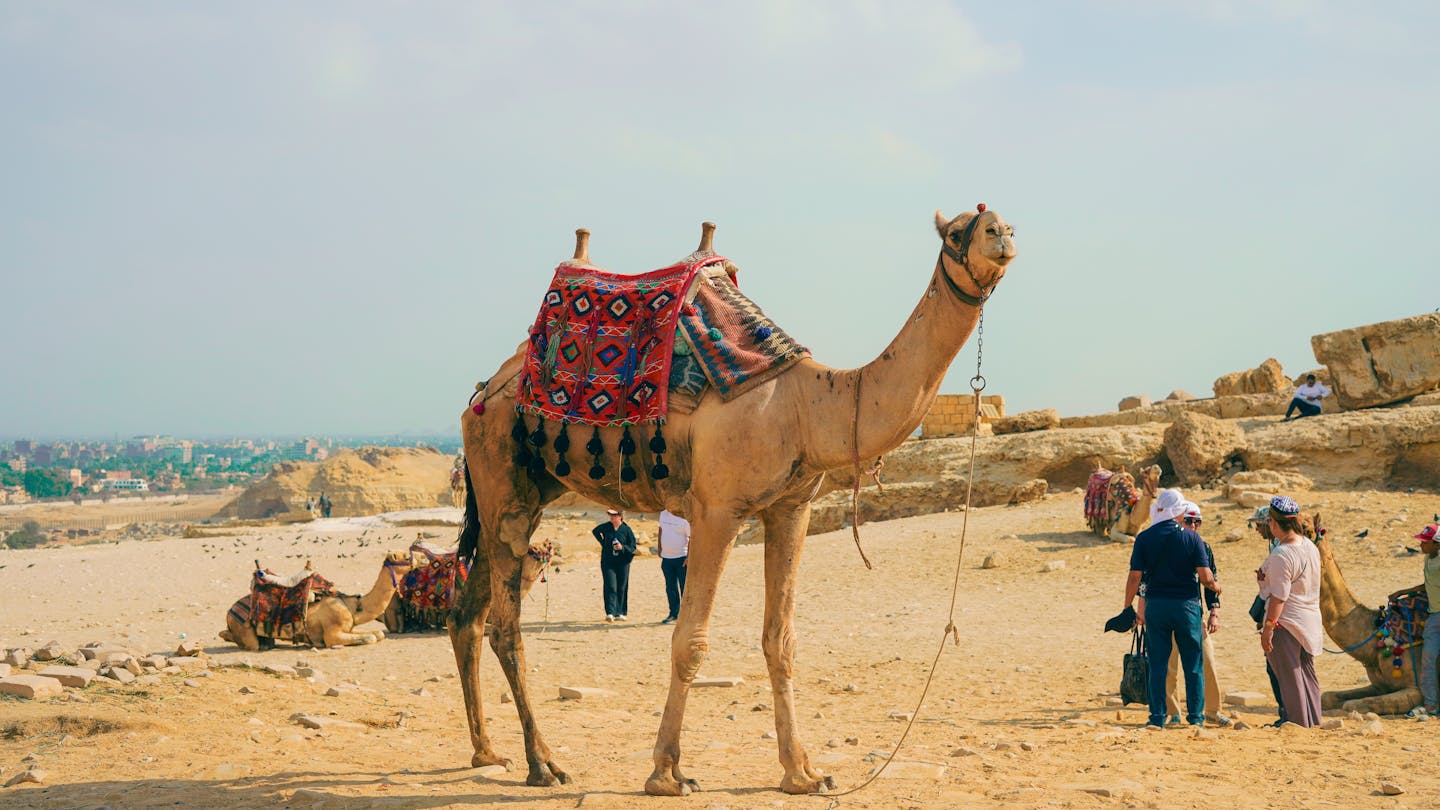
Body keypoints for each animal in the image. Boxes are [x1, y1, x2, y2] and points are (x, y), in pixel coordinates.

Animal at [220, 552, 414, 650]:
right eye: (406, 556)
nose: (420, 560)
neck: (352, 606)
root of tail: (229, 613)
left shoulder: (349, 628)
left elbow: (378, 634)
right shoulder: (333, 634)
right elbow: (370, 638)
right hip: (244, 630)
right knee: (249, 644)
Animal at [450, 204, 1015, 794]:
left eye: (1005, 224)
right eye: (958, 231)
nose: (1000, 234)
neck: (808, 405)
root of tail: (485, 390)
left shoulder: (791, 508)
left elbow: (781, 641)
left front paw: (803, 772)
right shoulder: (717, 509)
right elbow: (691, 640)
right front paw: (666, 773)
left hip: (528, 491)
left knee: (466, 615)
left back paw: (488, 751)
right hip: (501, 475)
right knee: (505, 626)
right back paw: (544, 764)